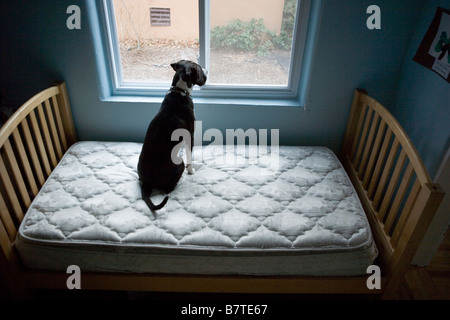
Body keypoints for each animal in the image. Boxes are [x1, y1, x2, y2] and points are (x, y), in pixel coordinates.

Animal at [137, 59, 207, 212]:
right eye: (199, 69)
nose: (207, 70)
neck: (179, 91)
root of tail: (146, 183)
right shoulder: (190, 135)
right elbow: (189, 156)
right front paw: (191, 171)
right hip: (178, 164)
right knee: (168, 189)